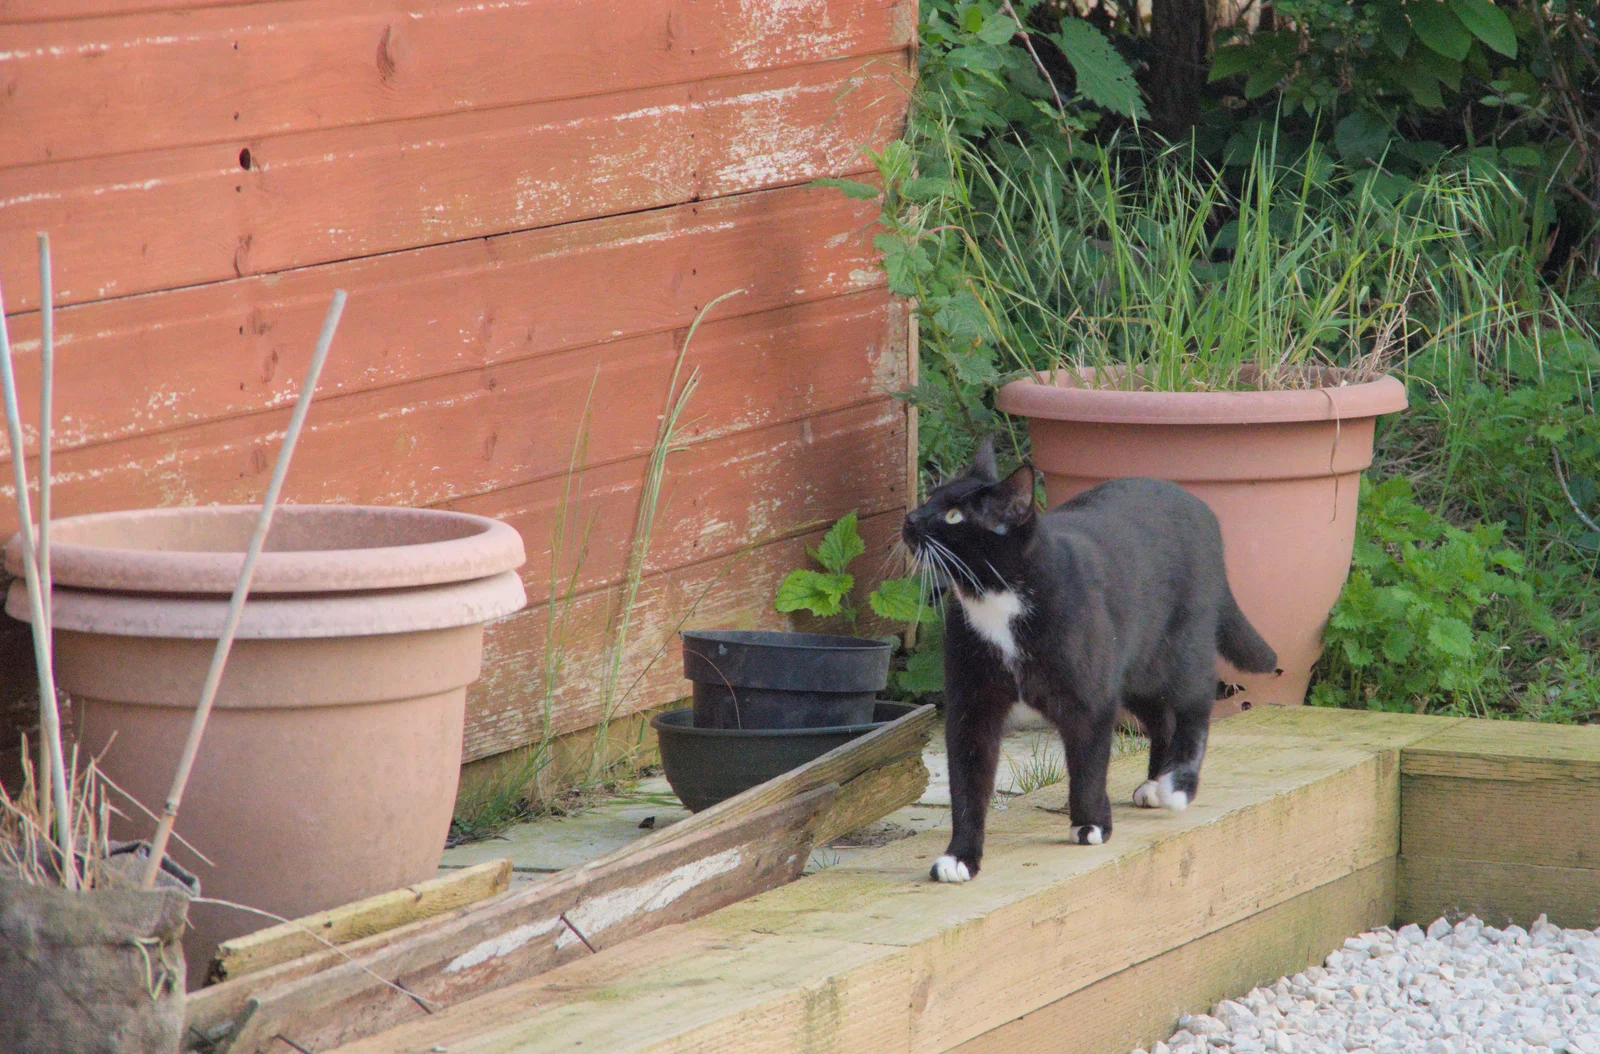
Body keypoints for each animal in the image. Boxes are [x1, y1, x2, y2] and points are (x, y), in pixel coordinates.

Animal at [908, 438, 1280, 882]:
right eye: (930, 498)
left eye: (954, 516)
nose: (910, 519)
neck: (996, 599)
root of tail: (1203, 511)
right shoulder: (972, 703)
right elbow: (967, 780)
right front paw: (960, 857)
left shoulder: (1090, 695)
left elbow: (1087, 762)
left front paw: (1090, 824)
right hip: (1135, 665)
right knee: (1161, 716)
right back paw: (1154, 782)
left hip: (1179, 644)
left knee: (1195, 703)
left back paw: (1177, 785)